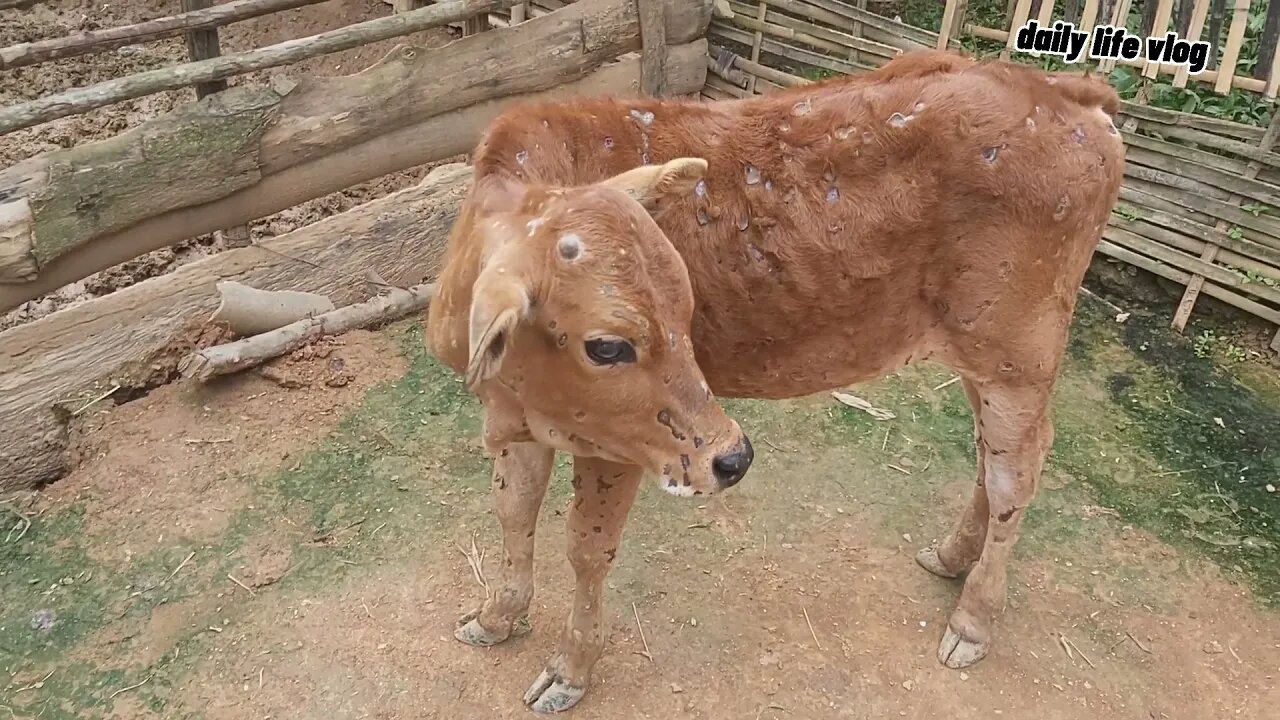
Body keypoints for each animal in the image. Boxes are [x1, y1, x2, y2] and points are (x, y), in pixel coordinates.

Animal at [425, 48, 1125, 713]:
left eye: (686, 307)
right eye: (607, 345)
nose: (734, 458)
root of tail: (1066, 92)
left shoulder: (619, 446)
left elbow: (586, 549)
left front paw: (570, 669)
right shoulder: (512, 423)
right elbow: (513, 512)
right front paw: (496, 617)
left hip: (1018, 355)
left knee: (1016, 471)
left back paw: (972, 621)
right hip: (982, 357)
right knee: (989, 454)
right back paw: (953, 555)